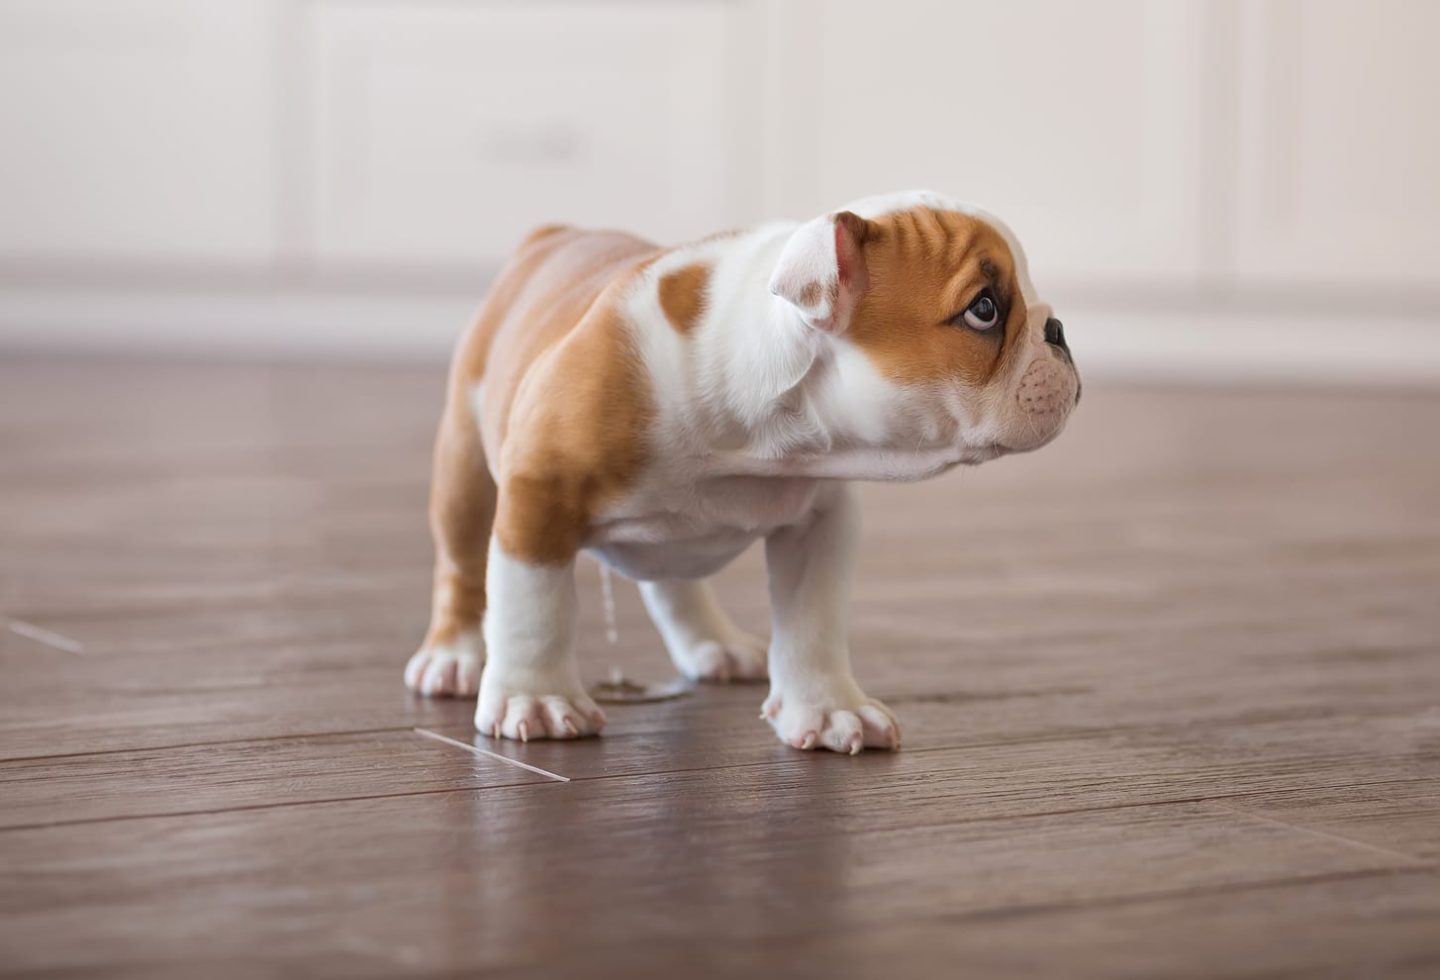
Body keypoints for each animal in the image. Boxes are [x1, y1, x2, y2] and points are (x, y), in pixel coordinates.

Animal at [406, 191, 1082, 754]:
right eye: (984, 310)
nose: (1058, 329)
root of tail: (552, 236)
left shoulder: (821, 523)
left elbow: (813, 620)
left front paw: (829, 708)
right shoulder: (539, 493)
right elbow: (534, 606)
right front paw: (536, 697)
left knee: (671, 579)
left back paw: (715, 644)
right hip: (465, 466)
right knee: (462, 564)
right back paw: (454, 657)